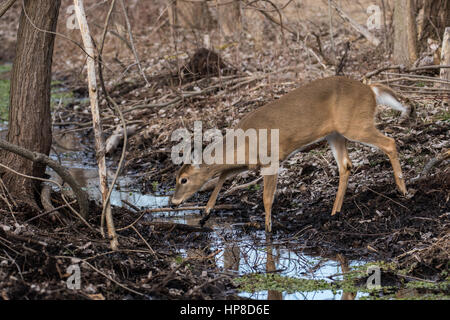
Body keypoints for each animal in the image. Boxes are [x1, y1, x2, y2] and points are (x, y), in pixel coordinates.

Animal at [171, 77, 410, 232]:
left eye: (183, 179)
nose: (173, 203)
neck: (243, 143)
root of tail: (371, 90)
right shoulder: (250, 163)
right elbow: (222, 175)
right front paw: (206, 213)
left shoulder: (271, 160)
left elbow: (267, 198)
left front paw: (268, 227)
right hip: (335, 133)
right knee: (346, 165)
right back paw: (335, 212)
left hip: (355, 124)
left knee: (390, 143)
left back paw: (403, 189)